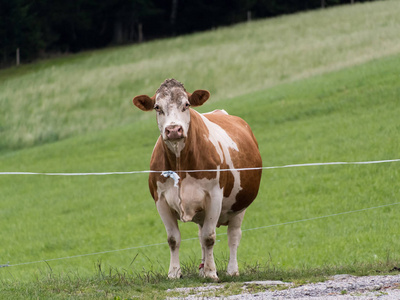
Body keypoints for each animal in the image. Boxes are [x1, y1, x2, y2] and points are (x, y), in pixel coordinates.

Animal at [132, 78, 262, 280]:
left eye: (186, 104)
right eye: (157, 107)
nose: (173, 130)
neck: (181, 166)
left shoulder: (215, 196)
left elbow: (210, 237)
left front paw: (211, 272)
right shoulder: (160, 200)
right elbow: (174, 239)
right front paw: (174, 273)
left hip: (239, 206)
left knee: (233, 236)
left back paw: (232, 270)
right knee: (201, 235)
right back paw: (202, 269)